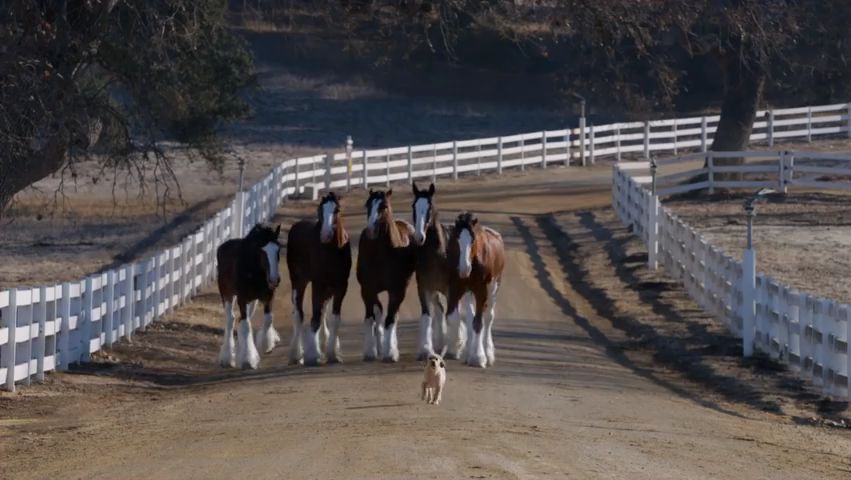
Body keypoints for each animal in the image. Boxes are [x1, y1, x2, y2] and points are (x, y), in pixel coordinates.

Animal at [216, 223, 282, 370]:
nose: (274, 280)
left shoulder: (268, 296)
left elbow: (268, 319)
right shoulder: (242, 299)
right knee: (231, 319)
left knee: (243, 319)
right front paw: (248, 360)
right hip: (227, 294)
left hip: (253, 301)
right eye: (262, 251)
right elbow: (245, 325)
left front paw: (266, 345)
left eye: (278, 250)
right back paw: (226, 358)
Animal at [286, 190, 352, 364]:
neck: (333, 251)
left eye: (337, 210)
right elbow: (314, 317)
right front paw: (312, 355)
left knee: (321, 312)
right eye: (320, 210)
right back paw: (296, 354)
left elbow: (334, 318)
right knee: (299, 315)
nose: (325, 235)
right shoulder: (318, 284)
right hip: (298, 281)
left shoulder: (341, 286)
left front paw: (333, 354)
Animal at [354, 188, 418, 360]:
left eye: (384, 207)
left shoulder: (397, 290)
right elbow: (371, 317)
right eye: (368, 205)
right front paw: (370, 352)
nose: (370, 231)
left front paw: (390, 353)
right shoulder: (366, 290)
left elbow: (390, 318)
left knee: (392, 316)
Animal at [412, 183, 476, 360]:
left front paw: (455, 348)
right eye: (414, 206)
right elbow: (427, 317)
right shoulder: (424, 288)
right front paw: (426, 350)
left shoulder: (452, 289)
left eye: (429, 207)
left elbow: (452, 316)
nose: (419, 237)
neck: (438, 254)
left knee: (467, 313)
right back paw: (440, 342)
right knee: (440, 309)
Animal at [446, 213, 506, 368]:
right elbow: (453, 318)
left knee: (488, 317)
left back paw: (488, 353)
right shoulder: (455, 287)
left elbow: (478, 322)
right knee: (470, 315)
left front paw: (478, 357)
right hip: (469, 292)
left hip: (493, 287)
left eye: (473, 240)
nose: (464, 269)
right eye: (456, 238)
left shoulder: (481, 291)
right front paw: (454, 348)